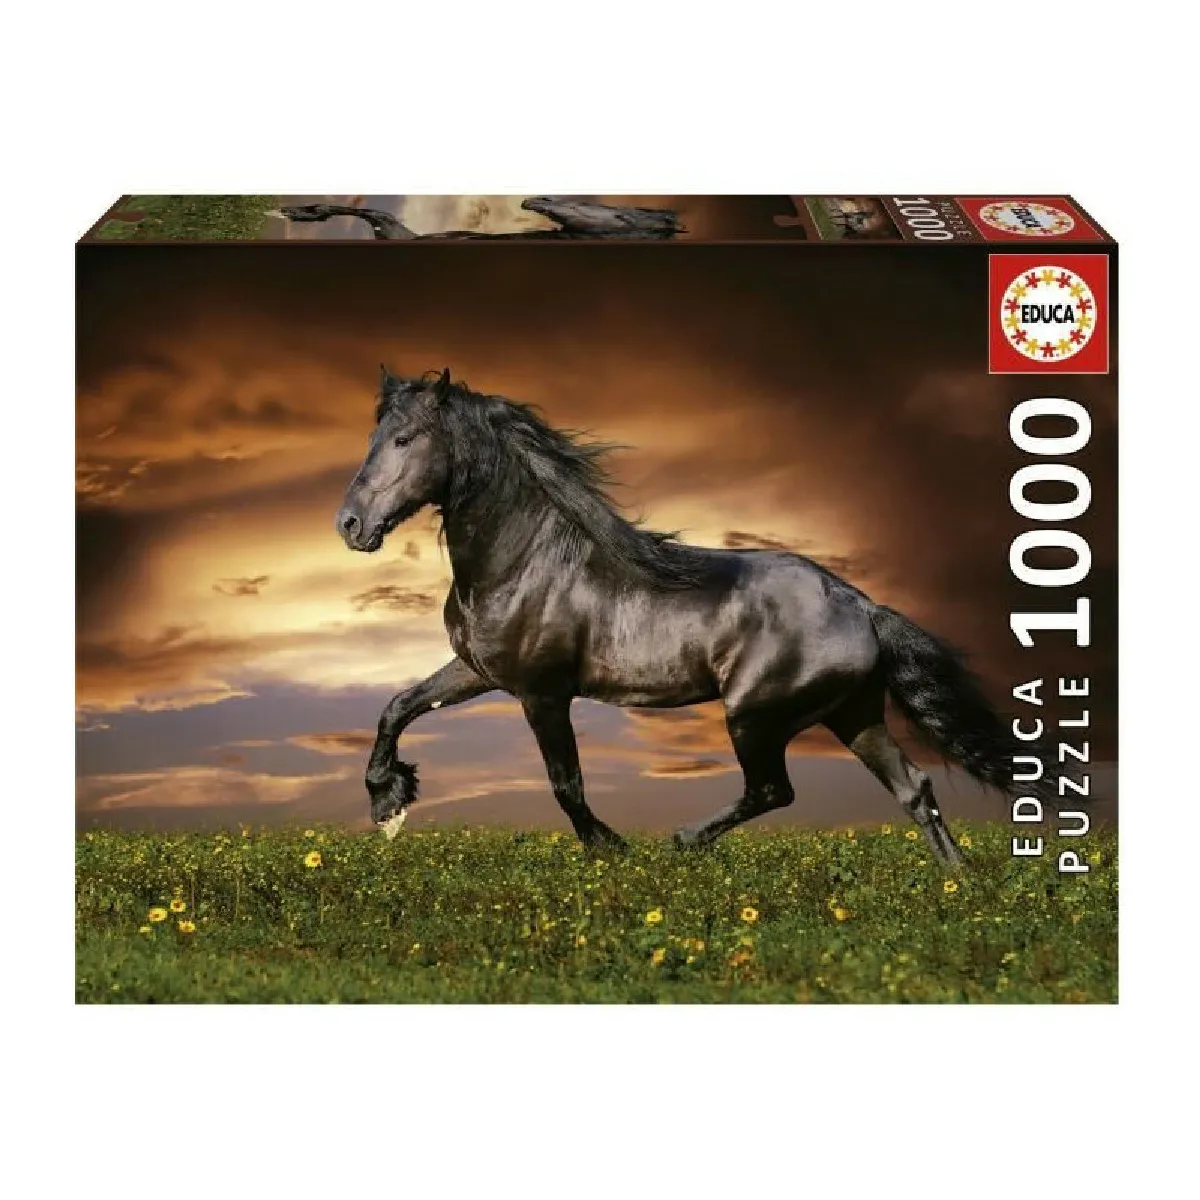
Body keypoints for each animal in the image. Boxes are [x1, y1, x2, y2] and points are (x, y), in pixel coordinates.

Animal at [336, 367, 1046, 865]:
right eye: (372, 437)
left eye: (403, 439)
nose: (350, 525)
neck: (526, 560)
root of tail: (861, 606)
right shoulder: (478, 670)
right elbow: (398, 706)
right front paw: (388, 798)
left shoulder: (543, 692)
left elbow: (566, 783)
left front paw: (611, 849)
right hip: (854, 713)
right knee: (913, 790)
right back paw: (957, 885)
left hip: (755, 715)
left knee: (775, 791)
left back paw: (680, 842)